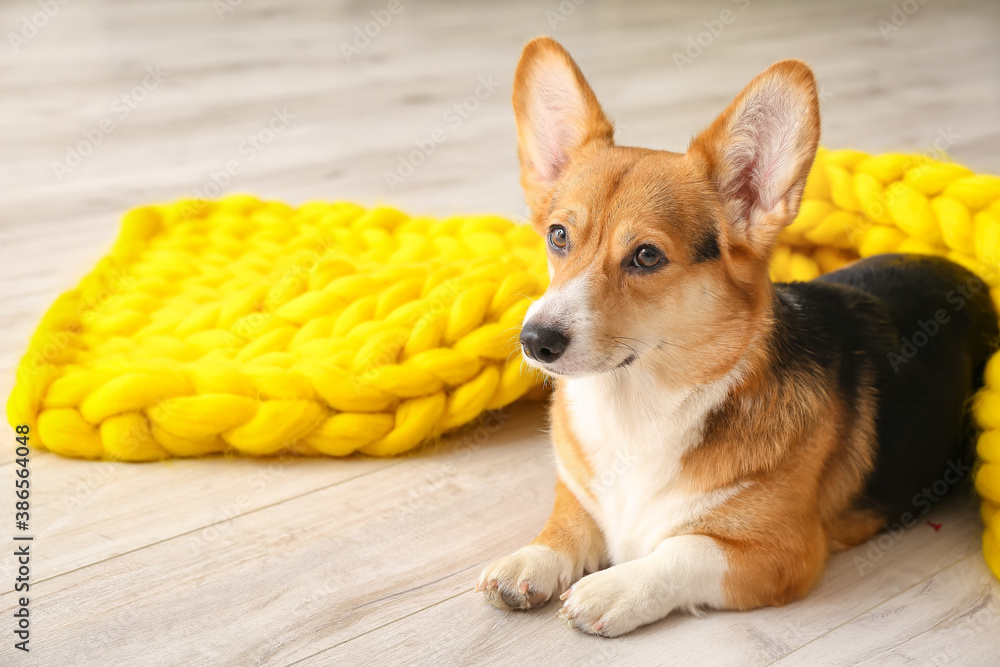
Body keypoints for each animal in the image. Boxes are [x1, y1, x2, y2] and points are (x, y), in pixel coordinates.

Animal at [478, 35, 1000, 636]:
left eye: (646, 256)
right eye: (558, 236)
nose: (534, 340)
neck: (638, 408)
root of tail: (965, 276)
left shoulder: (780, 553)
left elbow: (681, 550)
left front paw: (614, 587)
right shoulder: (579, 491)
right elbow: (567, 523)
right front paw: (531, 559)